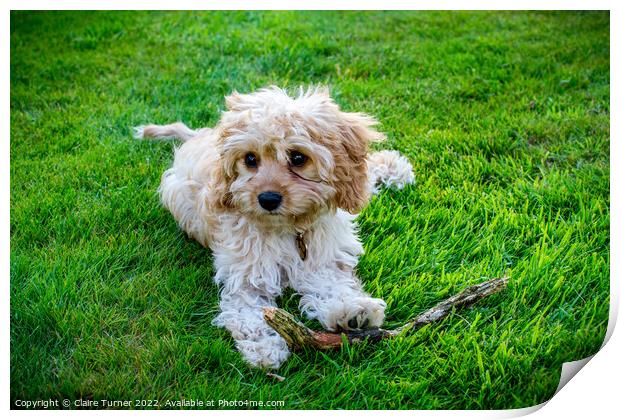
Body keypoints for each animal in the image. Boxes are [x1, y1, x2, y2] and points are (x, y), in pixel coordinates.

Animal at [136, 87, 416, 370]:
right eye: (250, 159)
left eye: (298, 157)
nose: (268, 199)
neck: (289, 228)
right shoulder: (246, 277)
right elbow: (251, 313)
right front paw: (264, 347)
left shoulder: (322, 258)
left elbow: (333, 283)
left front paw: (352, 310)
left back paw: (395, 167)